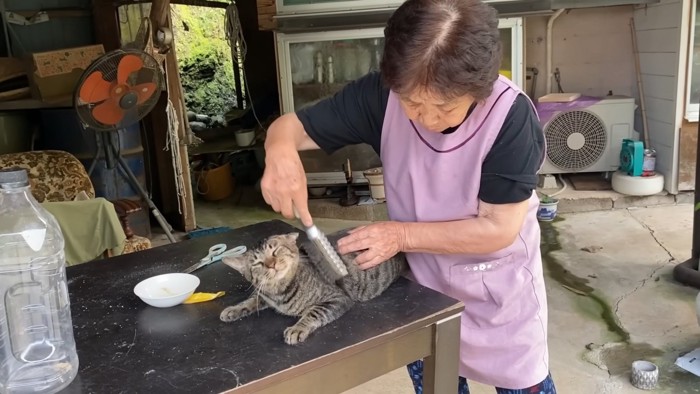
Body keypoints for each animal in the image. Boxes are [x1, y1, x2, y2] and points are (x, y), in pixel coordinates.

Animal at [219, 228, 404, 344]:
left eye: (275, 251)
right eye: (258, 263)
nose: (272, 264)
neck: (280, 292)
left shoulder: (337, 297)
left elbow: (313, 312)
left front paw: (297, 328)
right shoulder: (264, 294)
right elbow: (252, 300)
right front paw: (234, 309)